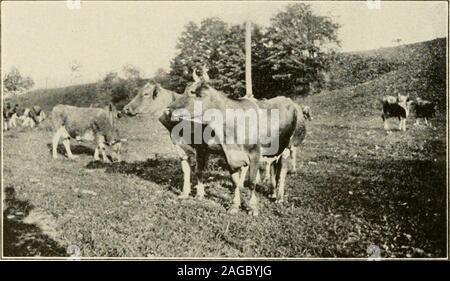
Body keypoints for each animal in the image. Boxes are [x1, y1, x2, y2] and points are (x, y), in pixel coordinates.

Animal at [159, 65, 306, 214]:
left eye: (194, 92)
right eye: (184, 91)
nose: (168, 110)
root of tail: (288, 100)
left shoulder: (255, 154)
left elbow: (251, 182)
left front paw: (253, 207)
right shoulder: (227, 154)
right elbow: (235, 181)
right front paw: (235, 206)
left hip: (288, 146)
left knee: (282, 172)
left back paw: (280, 198)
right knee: (274, 169)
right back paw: (273, 193)